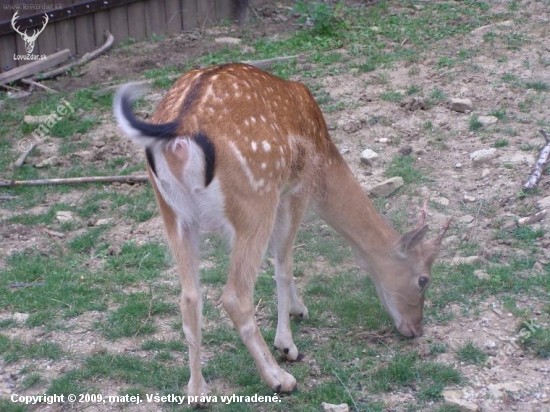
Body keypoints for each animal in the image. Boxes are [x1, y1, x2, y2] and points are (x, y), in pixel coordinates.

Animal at [113, 64, 452, 406]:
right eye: (423, 279)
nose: (415, 328)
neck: (324, 155)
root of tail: (179, 134)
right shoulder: (297, 188)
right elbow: (284, 264)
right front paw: (287, 344)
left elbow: (278, 261)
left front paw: (298, 309)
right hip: (254, 200)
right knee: (235, 296)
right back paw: (280, 378)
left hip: (174, 214)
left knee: (189, 296)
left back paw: (197, 391)